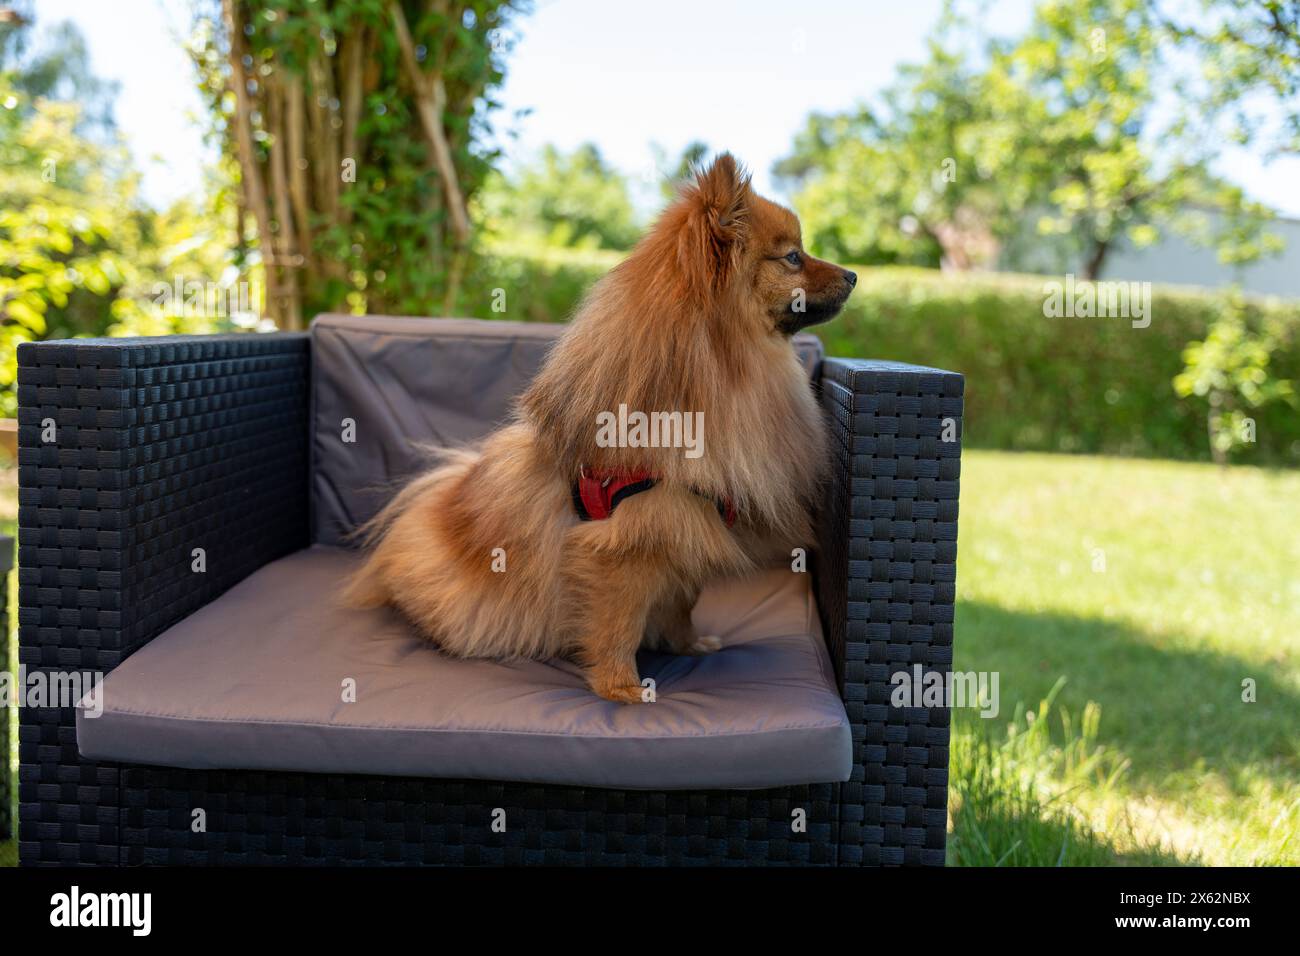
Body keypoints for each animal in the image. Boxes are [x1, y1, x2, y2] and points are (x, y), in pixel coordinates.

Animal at [345, 153, 852, 697]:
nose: (853, 275)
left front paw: (687, 644)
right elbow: (617, 625)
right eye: (794, 257)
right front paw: (622, 688)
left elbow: (682, 602)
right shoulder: (628, 541)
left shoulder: (687, 528)